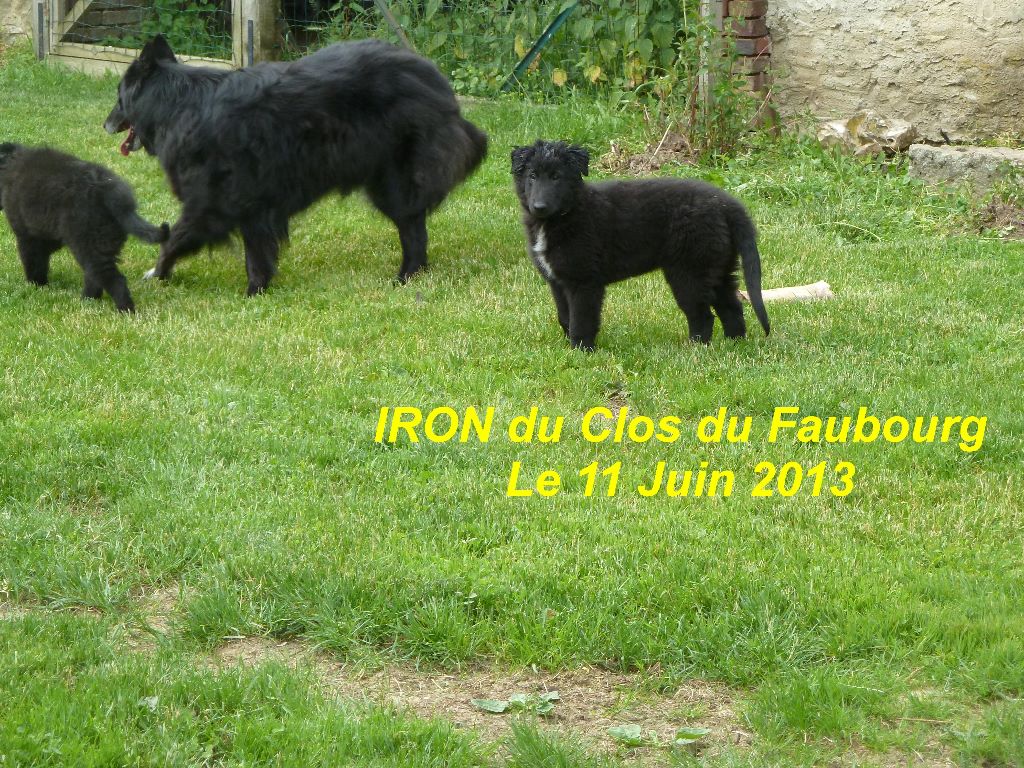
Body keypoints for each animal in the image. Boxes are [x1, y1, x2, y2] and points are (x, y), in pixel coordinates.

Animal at [0, 143, 168, 312]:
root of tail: (111, 193)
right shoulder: (48, 233)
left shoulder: (27, 236)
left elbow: (33, 261)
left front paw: (36, 285)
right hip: (103, 242)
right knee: (93, 275)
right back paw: (88, 300)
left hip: (88, 242)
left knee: (114, 279)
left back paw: (125, 310)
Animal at [104, 35, 488, 294]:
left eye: (119, 98)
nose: (106, 124)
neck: (177, 103)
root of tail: (438, 85)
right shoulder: (252, 204)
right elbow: (256, 251)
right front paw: (257, 289)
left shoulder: (210, 203)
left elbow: (175, 239)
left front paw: (158, 273)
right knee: (414, 224)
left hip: (393, 177)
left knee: (412, 228)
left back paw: (406, 275)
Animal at [511, 140, 770, 350]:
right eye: (532, 176)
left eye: (557, 177)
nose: (539, 206)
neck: (566, 214)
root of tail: (727, 204)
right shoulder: (557, 281)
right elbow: (565, 317)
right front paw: (570, 349)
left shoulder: (584, 282)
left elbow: (581, 320)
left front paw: (582, 351)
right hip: (718, 265)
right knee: (731, 306)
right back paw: (734, 344)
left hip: (689, 270)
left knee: (702, 314)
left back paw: (695, 349)